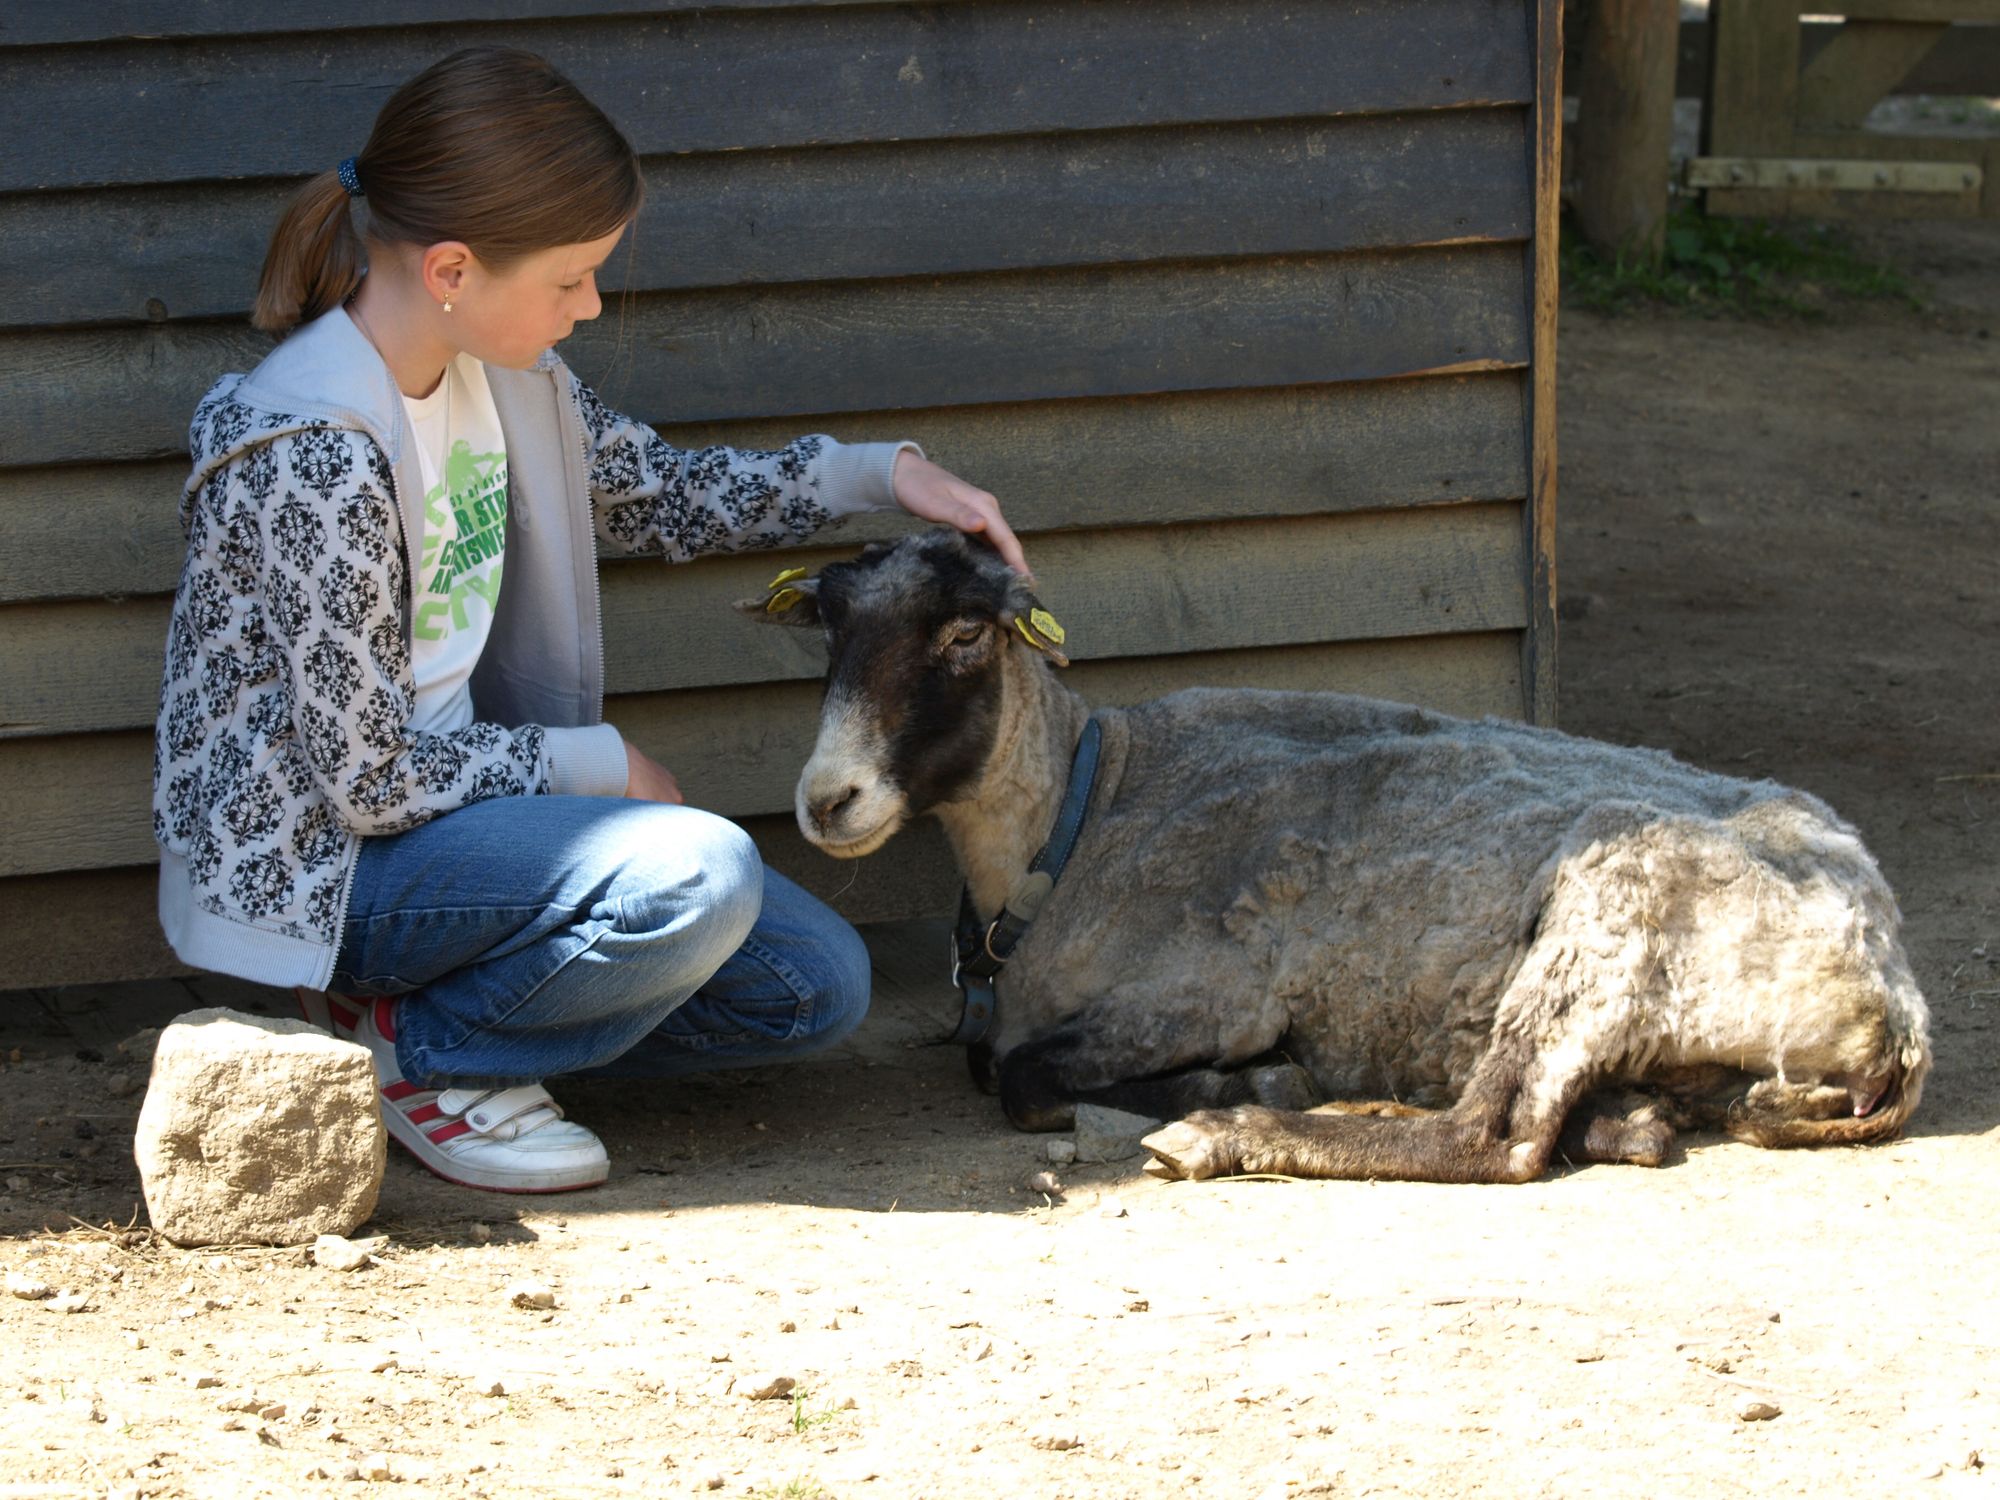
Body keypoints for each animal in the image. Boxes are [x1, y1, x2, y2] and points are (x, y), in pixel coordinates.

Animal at [748, 532, 1920, 1184]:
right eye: (830, 634)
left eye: (963, 637)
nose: (827, 799)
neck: (1085, 814)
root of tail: (1891, 992)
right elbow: (993, 1059)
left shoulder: (1202, 990)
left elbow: (1022, 1074)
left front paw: (1250, 1079)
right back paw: (1620, 1119)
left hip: (1607, 917)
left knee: (1495, 1138)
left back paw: (1234, 1130)